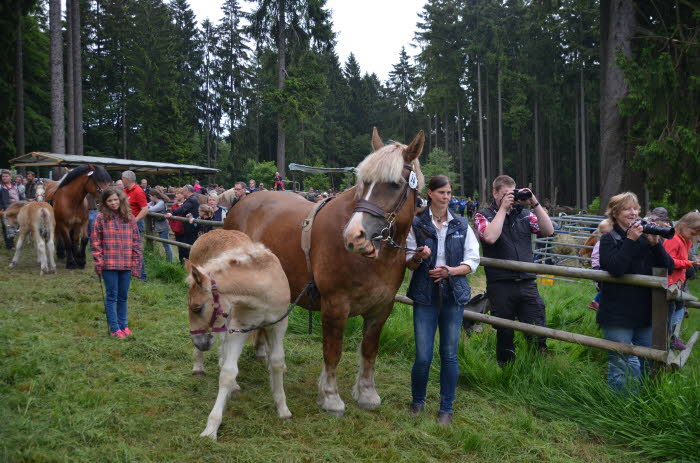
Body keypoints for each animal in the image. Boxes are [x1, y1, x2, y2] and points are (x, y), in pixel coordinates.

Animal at [223, 128, 426, 416]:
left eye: (395, 184)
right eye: (364, 182)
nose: (354, 236)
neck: (376, 260)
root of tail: (241, 202)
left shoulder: (381, 308)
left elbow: (369, 350)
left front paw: (367, 393)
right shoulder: (335, 305)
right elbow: (333, 351)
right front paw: (330, 397)